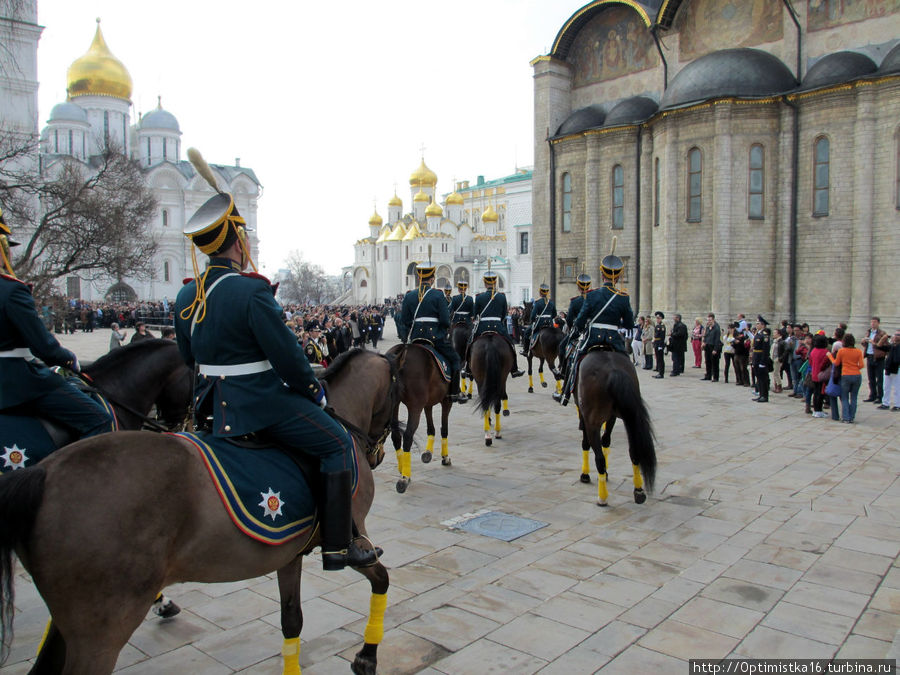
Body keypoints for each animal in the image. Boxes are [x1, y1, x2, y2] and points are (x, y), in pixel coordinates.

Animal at [0, 348, 396, 675]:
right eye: (397, 394)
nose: (378, 453)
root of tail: (44, 473)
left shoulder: (289, 554)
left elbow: (291, 621)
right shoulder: (351, 537)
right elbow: (381, 579)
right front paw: (368, 656)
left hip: (72, 625)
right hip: (102, 630)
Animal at [388, 344, 458, 492]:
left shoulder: (428, 403)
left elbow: (431, 427)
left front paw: (428, 453)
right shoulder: (446, 401)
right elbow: (444, 428)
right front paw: (445, 457)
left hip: (394, 404)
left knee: (396, 435)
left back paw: (402, 469)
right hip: (415, 406)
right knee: (408, 436)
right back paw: (404, 478)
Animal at [572, 348, 656, 508]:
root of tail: (613, 370)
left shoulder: (583, 412)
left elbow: (586, 442)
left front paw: (586, 474)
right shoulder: (611, 416)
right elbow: (606, 440)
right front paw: (605, 473)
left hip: (593, 419)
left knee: (598, 457)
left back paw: (602, 497)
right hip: (630, 417)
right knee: (634, 452)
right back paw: (638, 491)